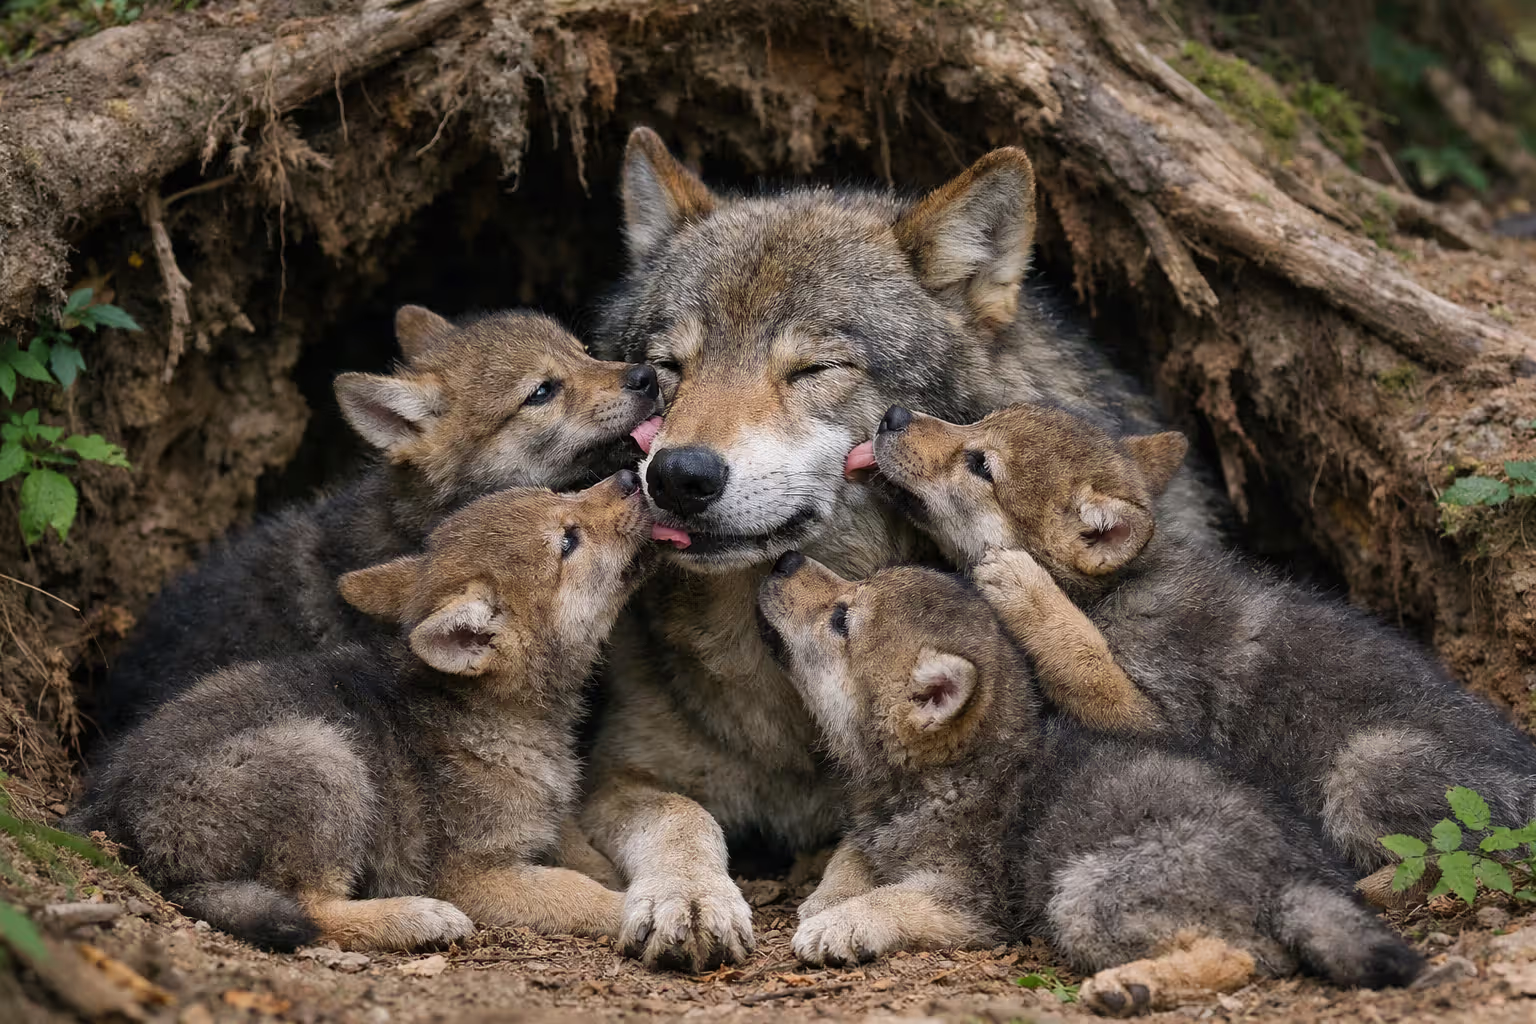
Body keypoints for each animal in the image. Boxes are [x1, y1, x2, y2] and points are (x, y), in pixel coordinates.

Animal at [69, 474, 653, 952]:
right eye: (568, 540)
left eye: (558, 493)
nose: (631, 475)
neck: (499, 716)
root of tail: (113, 816)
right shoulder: (471, 875)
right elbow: (576, 891)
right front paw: (644, 912)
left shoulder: (551, 828)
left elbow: (590, 859)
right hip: (324, 757)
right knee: (312, 908)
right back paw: (416, 918)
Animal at [580, 127, 1227, 971]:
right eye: (666, 369)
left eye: (813, 368)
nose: (679, 475)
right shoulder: (614, 774)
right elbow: (681, 814)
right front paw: (687, 897)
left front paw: (840, 899)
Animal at [757, 553, 1422, 1015]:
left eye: (841, 619)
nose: (784, 560)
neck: (945, 773)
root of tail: (1301, 880)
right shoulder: (873, 831)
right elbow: (852, 855)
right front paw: (825, 896)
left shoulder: (973, 905)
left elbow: (893, 900)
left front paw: (836, 925)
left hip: (1082, 893)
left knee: (1239, 958)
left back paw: (1129, 986)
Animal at [858, 401, 1536, 871]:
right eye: (975, 420)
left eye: (980, 464)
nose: (892, 415)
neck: (1116, 593)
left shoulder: (1160, 722)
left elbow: (1081, 659)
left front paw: (1027, 592)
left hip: (1365, 767)